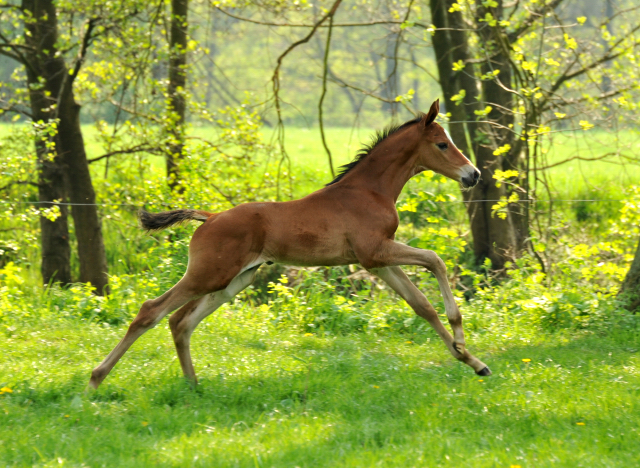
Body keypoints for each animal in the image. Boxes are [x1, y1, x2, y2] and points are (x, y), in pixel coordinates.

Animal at [89, 100, 490, 390]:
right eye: (442, 144)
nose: (473, 175)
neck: (369, 190)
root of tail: (211, 216)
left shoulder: (378, 261)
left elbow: (422, 307)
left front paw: (472, 361)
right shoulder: (376, 252)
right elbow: (436, 262)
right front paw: (461, 340)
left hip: (234, 280)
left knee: (180, 321)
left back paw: (193, 386)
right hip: (209, 274)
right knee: (151, 311)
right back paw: (95, 380)